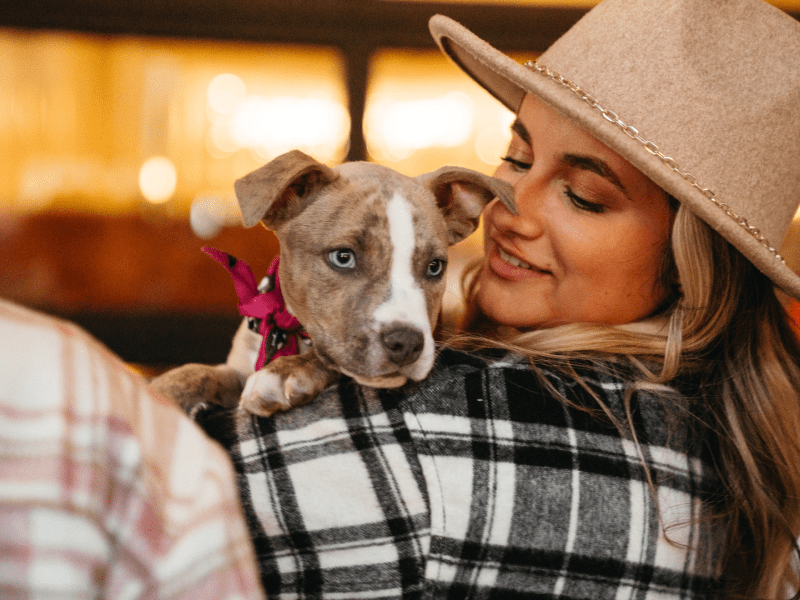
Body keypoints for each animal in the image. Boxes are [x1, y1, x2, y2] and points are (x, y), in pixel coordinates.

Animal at [150, 149, 512, 418]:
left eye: (435, 267)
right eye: (343, 257)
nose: (407, 343)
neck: (291, 333)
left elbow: (331, 362)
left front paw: (286, 373)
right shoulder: (238, 367)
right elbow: (198, 372)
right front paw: (160, 391)